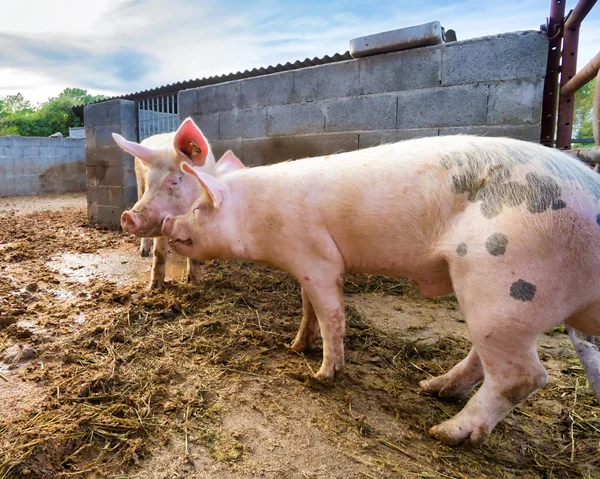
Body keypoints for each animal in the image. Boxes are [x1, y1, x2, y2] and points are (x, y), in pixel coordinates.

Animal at [112, 118, 216, 290]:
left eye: (174, 182)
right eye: (150, 182)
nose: (128, 216)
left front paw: (198, 283)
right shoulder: (160, 218)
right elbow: (159, 253)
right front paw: (154, 287)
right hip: (139, 184)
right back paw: (143, 253)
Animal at [159, 135, 600, 446]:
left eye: (197, 208)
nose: (166, 223)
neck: (259, 218)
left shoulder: (318, 260)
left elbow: (331, 313)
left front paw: (322, 375)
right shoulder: (303, 266)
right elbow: (307, 307)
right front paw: (295, 347)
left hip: (506, 281)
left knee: (523, 376)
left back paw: (444, 434)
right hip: (498, 305)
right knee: (487, 358)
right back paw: (432, 388)